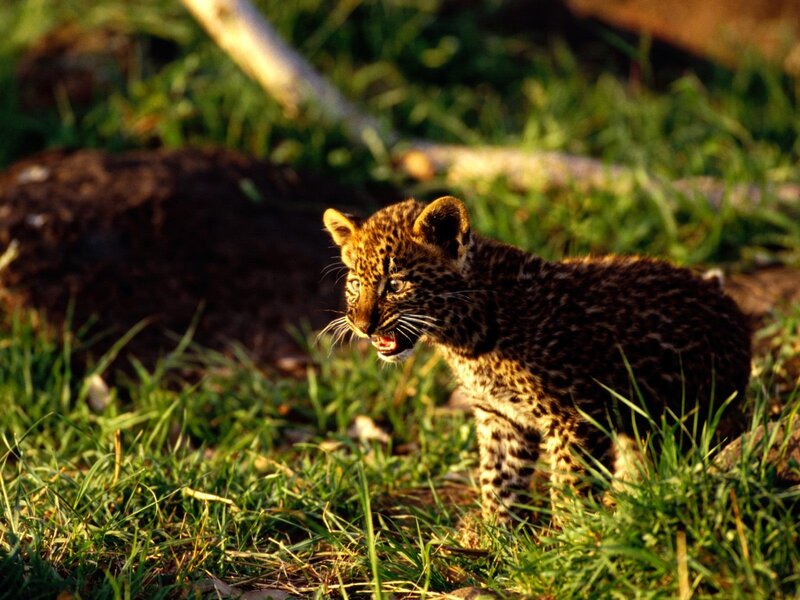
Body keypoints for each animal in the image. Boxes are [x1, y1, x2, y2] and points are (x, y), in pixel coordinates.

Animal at [322, 196, 752, 526]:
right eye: (355, 283)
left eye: (394, 284)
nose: (361, 325)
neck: (467, 337)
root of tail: (728, 302)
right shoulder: (500, 416)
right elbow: (498, 479)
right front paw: (495, 537)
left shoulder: (575, 417)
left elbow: (569, 486)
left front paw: (572, 541)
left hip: (696, 413)